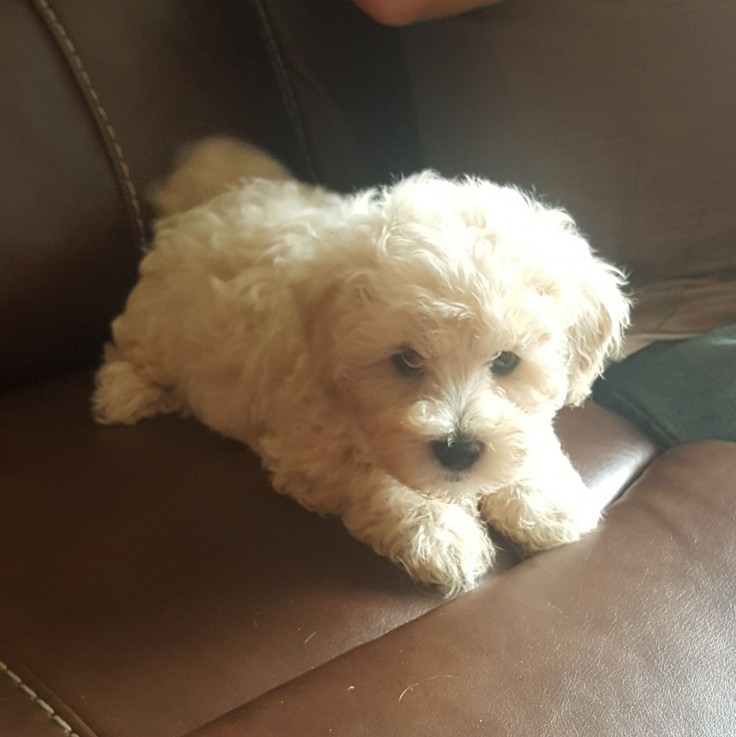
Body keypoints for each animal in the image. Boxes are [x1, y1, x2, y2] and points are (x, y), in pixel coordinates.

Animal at [93, 138, 628, 596]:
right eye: (406, 359)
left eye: (506, 361)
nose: (458, 450)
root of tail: (205, 205)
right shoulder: (309, 447)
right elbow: (373, 479)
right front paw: (440, 534)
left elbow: (529, 440)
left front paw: (545, 502)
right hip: (155, 321)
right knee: (129, 348)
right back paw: (123, 393)